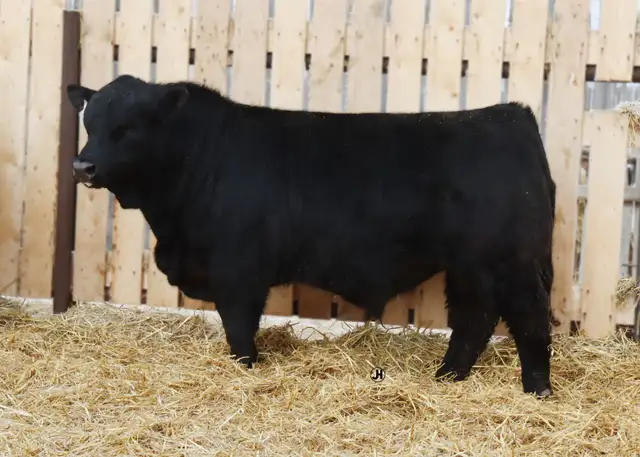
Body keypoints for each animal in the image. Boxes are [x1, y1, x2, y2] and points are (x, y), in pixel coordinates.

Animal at [66, 74, 556, 398]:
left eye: (128, 127)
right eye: (90, 124)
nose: (82, 166)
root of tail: (510, 115)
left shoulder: (238, 271)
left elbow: (239, 326)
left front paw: (247, 368)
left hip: (511, 262)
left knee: (528, 319)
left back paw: (536, 390)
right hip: (470, 266)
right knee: (475, 317)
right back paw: (448, 376)